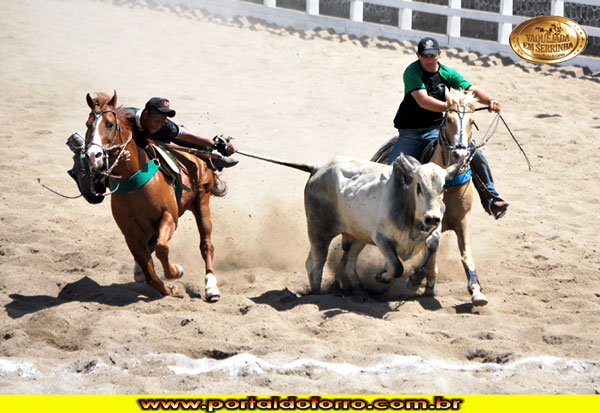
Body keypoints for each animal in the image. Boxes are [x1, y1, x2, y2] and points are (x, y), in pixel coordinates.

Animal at [84, 90, 225, 300]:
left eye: (109, 124)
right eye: (88, 124)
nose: (94, 155)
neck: (134, 181)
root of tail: (198, 156)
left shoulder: (169, 217)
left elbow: (162, 248)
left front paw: (176, 271)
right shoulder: (130, 234)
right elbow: (150, 273)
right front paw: (169, 289)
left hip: (202, 202)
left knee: (206, 245)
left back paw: (211, 286)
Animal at [304, 153, 460, 298]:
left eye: (443, 187)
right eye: (419, 186)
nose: (432, 218)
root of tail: (318, 168)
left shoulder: (435, 229)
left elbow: (432, 247)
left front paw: (414, 279)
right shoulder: (381, 238)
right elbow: (397, 267)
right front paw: (382, 277)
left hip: (359, 236)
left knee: (348, 262)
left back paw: (361, 293)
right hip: (319, 230)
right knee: (315, 264)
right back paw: (318, 294)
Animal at [372, 87, 490, 306]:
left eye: (471, 121)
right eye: (449, 120)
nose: (460, 155)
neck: (448, 184)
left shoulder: (464, 219)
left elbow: (465, 253)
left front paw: (476, 289)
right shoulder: (431, 222)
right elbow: (431, 250)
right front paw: (422, 281)